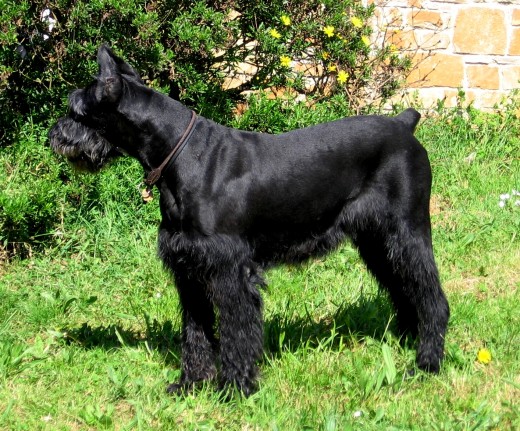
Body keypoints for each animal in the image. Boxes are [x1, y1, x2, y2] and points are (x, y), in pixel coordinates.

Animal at [49, 45, 446, 396]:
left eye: (76, 109)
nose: (54, 135)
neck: (182, 155)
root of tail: (404, 125)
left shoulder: (229, 270)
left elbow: (237, 332)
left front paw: (235, 388)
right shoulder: (189, 268)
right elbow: (195, 331)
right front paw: (191, 384)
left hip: (408, 232)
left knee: (432, 296)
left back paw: (427, 362)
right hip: (378, 241)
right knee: (405, 288)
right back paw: (407, 339)